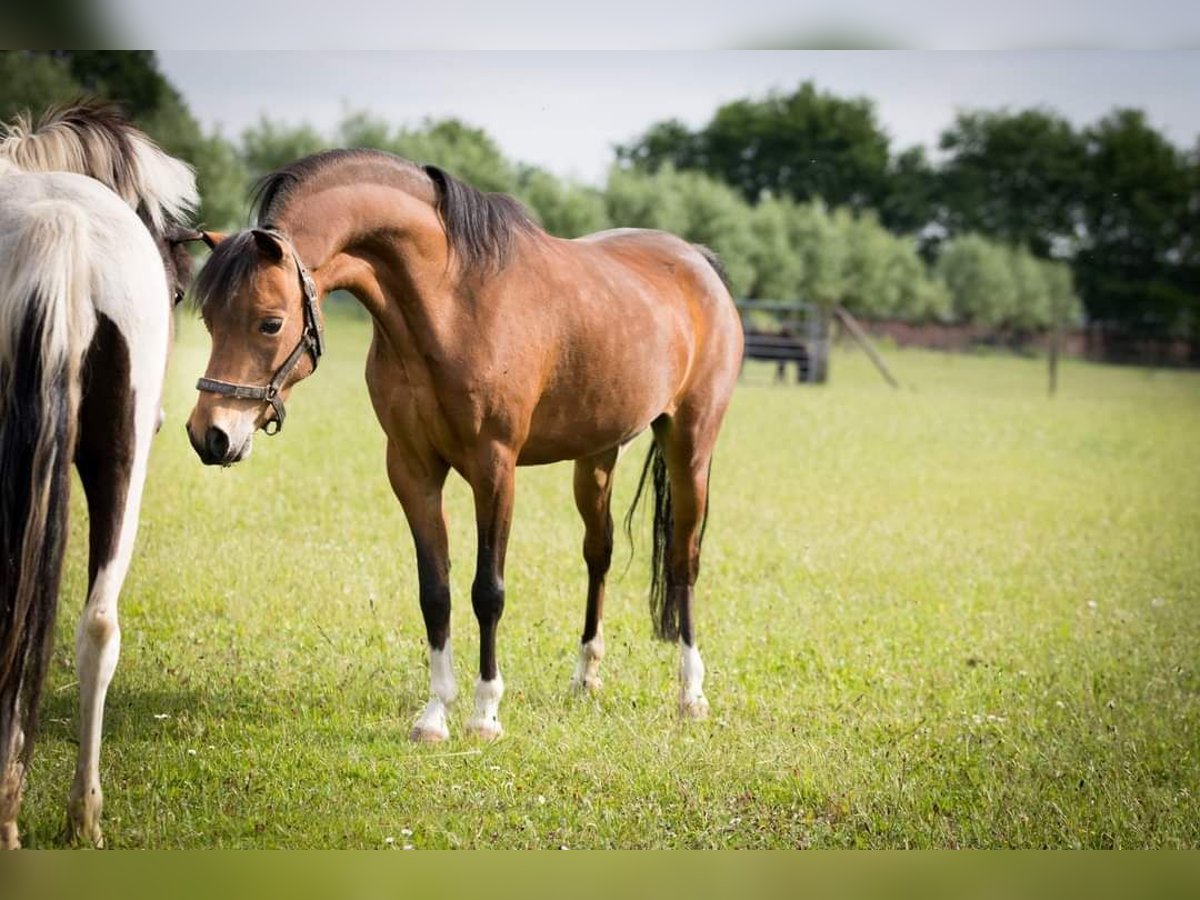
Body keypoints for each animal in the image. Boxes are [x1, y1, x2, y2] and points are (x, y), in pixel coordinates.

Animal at [189, 151, 739, 744]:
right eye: (208, 319)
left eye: (270, 323)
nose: (211, 435)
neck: (454, 304)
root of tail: (698, 261)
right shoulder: (412, 469)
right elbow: (436, 591)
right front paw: (434, 715)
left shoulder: (494, 468)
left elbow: (487, 590)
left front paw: (485, 713)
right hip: (596, 455)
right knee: (600, 552)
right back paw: (586, 677)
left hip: (690, 446)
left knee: (684, 561)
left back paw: (691, 693)